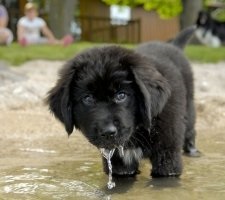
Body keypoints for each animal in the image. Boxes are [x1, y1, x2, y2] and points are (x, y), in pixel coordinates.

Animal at [46, 26, 200, 178]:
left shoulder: (167, 153)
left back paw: (192, 151)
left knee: (190, 130)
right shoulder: (118, 163)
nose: (108, 132)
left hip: (189, 107)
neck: (139, 130)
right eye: (88, 98)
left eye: (121, 95)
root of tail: (172, 45)